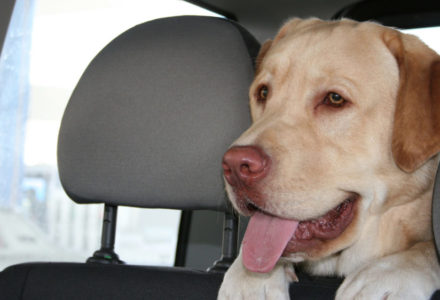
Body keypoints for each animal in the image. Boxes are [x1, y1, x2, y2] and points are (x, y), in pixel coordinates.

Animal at [218, 18, 440, 300]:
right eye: (263, 93)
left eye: (335, 99)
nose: (236, 166)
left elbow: (426, 248)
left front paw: (389, 273)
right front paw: (249, 278)